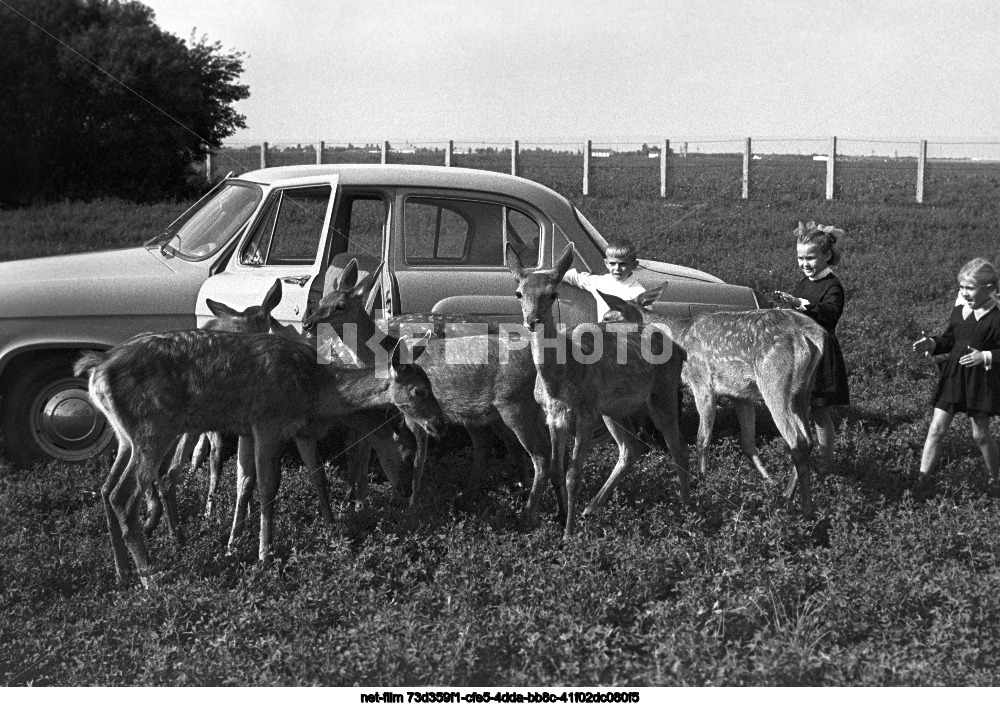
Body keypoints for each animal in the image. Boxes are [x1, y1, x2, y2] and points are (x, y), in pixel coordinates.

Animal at [74, 330, 442, 588]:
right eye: (419, 391)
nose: (438, 426)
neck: (316, 391)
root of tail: (96, 375)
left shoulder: (275, 429)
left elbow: (304, 477)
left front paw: (330, 528)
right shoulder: (268, 422)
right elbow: (267, 486)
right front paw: (264, 553)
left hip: (126, 436)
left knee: (106, 489)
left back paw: (123, 574)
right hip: (153, 428)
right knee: (124, 495)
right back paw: (151, 579)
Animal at [504, 245, 692, 544]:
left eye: (553, 294)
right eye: (519, 293)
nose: (532, 320)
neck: (559, 378)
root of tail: (678, 348)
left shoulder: (586, 409)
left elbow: (573, 472)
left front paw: (568, 535)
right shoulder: (552, 415)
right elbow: (555, 468)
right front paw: (560, 517)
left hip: (661, 392)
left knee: (678, 446)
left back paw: (686, 510)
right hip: (613, 408)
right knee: (631, 448)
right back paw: (591, 508)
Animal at [596, 284, 824, 516]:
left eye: (607, 317)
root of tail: (813, 334)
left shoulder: (702, 383)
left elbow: (702, 439)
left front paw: (702, 482)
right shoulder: (740, 395)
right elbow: (747, 442)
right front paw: (768, 481)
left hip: (774, 381)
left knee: (797, 440)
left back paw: (803, 507)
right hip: (803, 391)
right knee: (808, 439)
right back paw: (788, 494)